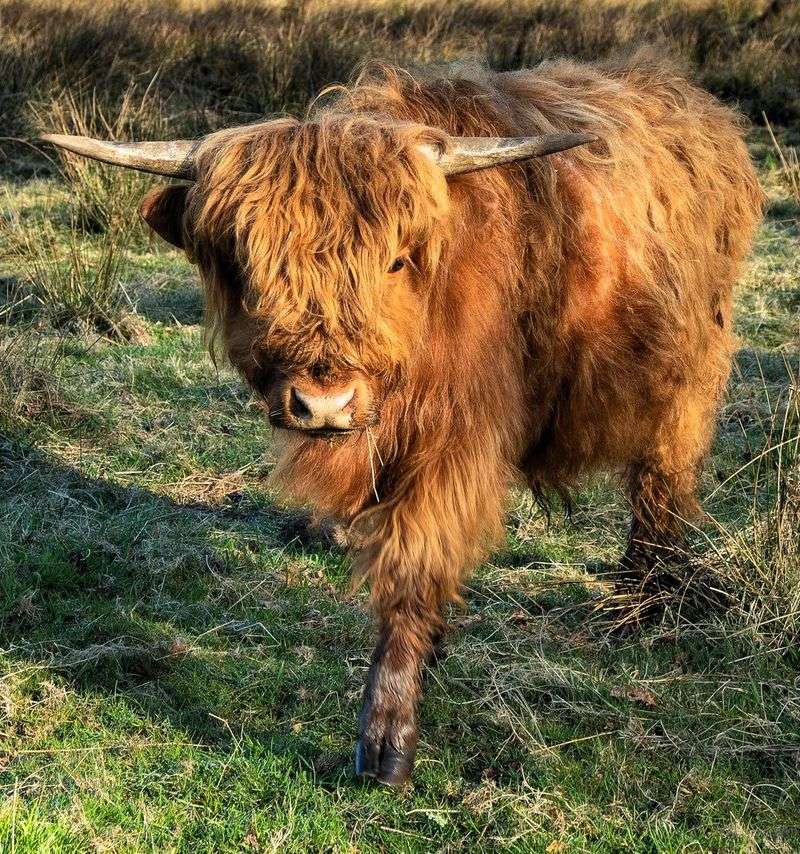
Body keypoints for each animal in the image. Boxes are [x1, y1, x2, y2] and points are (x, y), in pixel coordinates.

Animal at [43, 53, 764, 786]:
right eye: (246, 267)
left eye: (393, 260)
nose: (323, 405)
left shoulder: (452, 442)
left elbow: (414, 565)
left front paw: (387, 738)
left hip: (687, 376)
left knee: (660, 483)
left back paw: (644, 598)